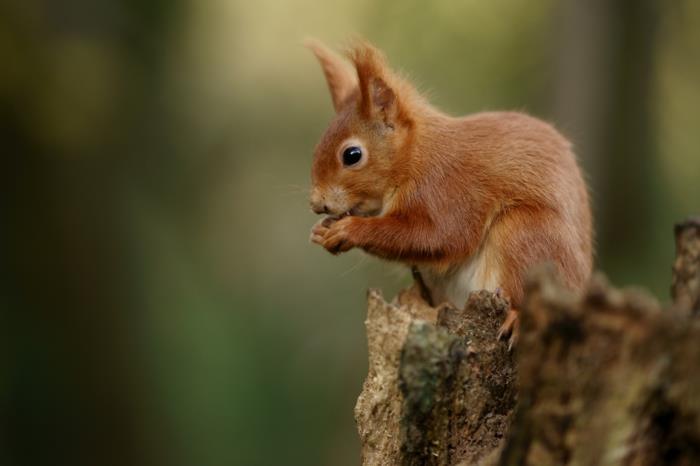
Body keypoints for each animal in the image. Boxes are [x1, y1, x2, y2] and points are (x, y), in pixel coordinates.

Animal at [306, 39, 592, 346]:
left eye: (352, 155)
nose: (317, 204)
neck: (414, 157)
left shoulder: (447, 188)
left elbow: (442, 236)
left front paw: (348, 230)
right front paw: (319, 231)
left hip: (528, 234)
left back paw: (515, 315)